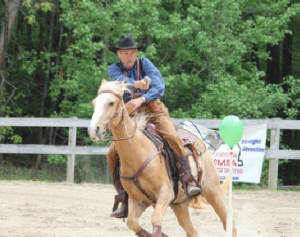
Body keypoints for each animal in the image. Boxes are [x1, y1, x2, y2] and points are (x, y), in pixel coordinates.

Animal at [89, 80, 237, 237]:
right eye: (94, 103)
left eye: (111, 103)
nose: (94, 130)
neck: (138, 154)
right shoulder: (138, 200)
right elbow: (132, 222)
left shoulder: (165, 193)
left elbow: (155, 220)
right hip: (179, 205)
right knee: (192, 232)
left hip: (213, 191)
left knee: (229, 224)